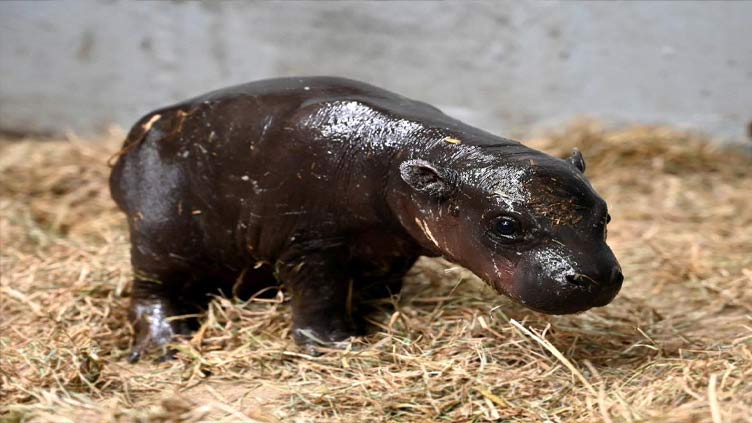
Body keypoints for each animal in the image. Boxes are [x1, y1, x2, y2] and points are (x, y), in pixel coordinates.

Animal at [107, 76, 624, 362]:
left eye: (605, 214)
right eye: (506, 225)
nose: (597, 276)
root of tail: (136, 134)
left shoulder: (396, 245)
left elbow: (379, 284)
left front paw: (377, 318)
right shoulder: (310, 244)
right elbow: (319, 295)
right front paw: (334, 346)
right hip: (159, 236)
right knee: (151, 292)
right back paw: (162, 347)